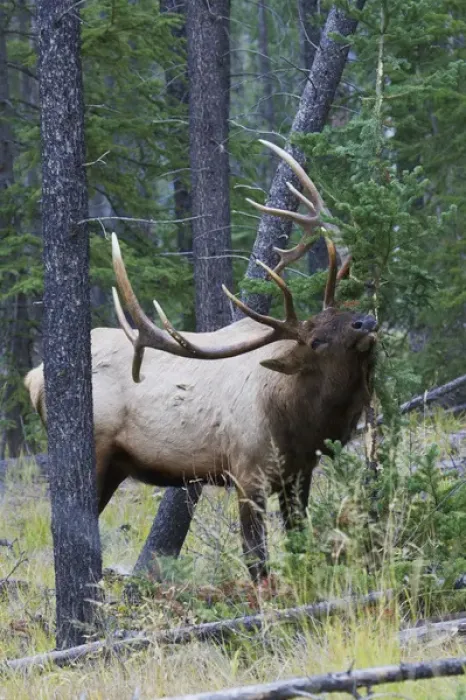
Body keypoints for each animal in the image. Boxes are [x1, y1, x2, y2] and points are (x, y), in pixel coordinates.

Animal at [25, 140, 378, 582]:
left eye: (346, 312)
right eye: (315, 340)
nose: (367, 321)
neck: (300, 422)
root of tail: (33, 377)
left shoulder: (300, 474)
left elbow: (300, 542)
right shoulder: (247, 473)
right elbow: (257, 562)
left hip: (118, 464)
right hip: (98, 452)